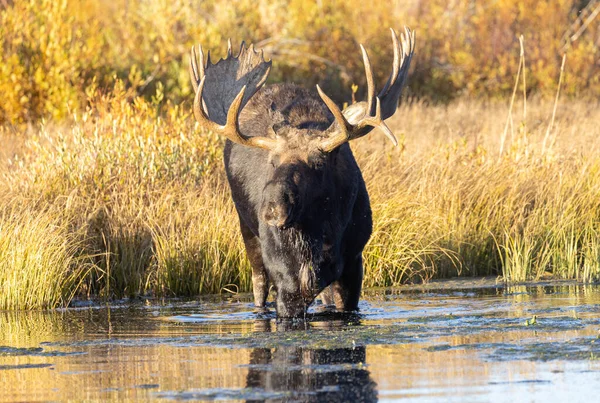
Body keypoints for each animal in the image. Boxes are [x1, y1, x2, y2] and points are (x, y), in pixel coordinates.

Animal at [190, 28, 414, 318]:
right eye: (272, 162)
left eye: (318, 163)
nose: (273, 208)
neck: (318, 236)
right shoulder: (286, 277)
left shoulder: (353, 264)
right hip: (247, 231)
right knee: (258, 284)